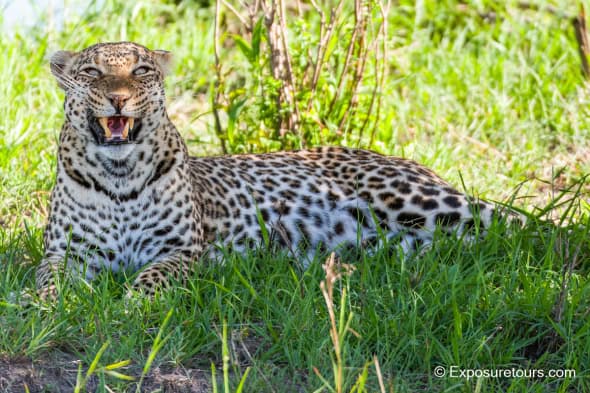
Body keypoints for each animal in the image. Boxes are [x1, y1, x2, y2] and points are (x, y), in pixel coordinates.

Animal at [37, 42, 524, 300]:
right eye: (92, 71)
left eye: (140, 70)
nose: (118, 98)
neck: (118, 176)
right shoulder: (66, 252)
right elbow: (47, 279)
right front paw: (43, 306)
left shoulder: (181, 251)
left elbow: (153, 279)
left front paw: (131, 303)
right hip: (410, 237)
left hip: (416, 200)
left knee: (517, 221)